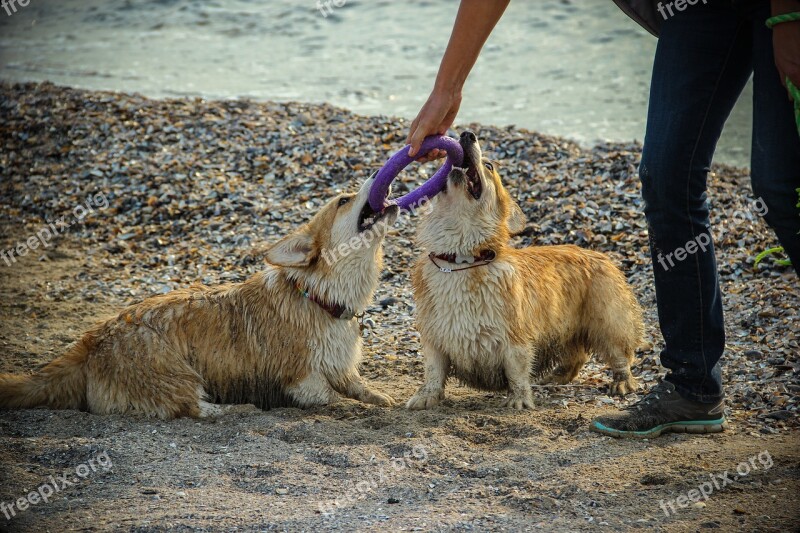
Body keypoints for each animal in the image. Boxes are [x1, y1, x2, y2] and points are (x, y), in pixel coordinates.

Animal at [0, 177, 400, 418]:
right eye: (344, 200)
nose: (376, 175)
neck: (320, 296)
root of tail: (89, 342)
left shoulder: (340, 367)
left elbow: (360, 387)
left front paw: (382, 397)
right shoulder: (300, 379)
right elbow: (336, 398)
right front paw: (366, 409)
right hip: (175, 372)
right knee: (192, 407)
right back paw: (236, 410)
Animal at [406, 131, 644, 410]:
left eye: (489, 166)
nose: (467, 134)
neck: (460, 260)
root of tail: (601, 254)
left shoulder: (515, 338)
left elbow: (517, 371)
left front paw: (519, 400)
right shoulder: (434, 338)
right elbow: (433, 371)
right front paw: (426, 396)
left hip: (608, 321)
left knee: (619, 355)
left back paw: (622, 382)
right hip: (565, 328)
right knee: (576, 356)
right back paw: (556, 377)